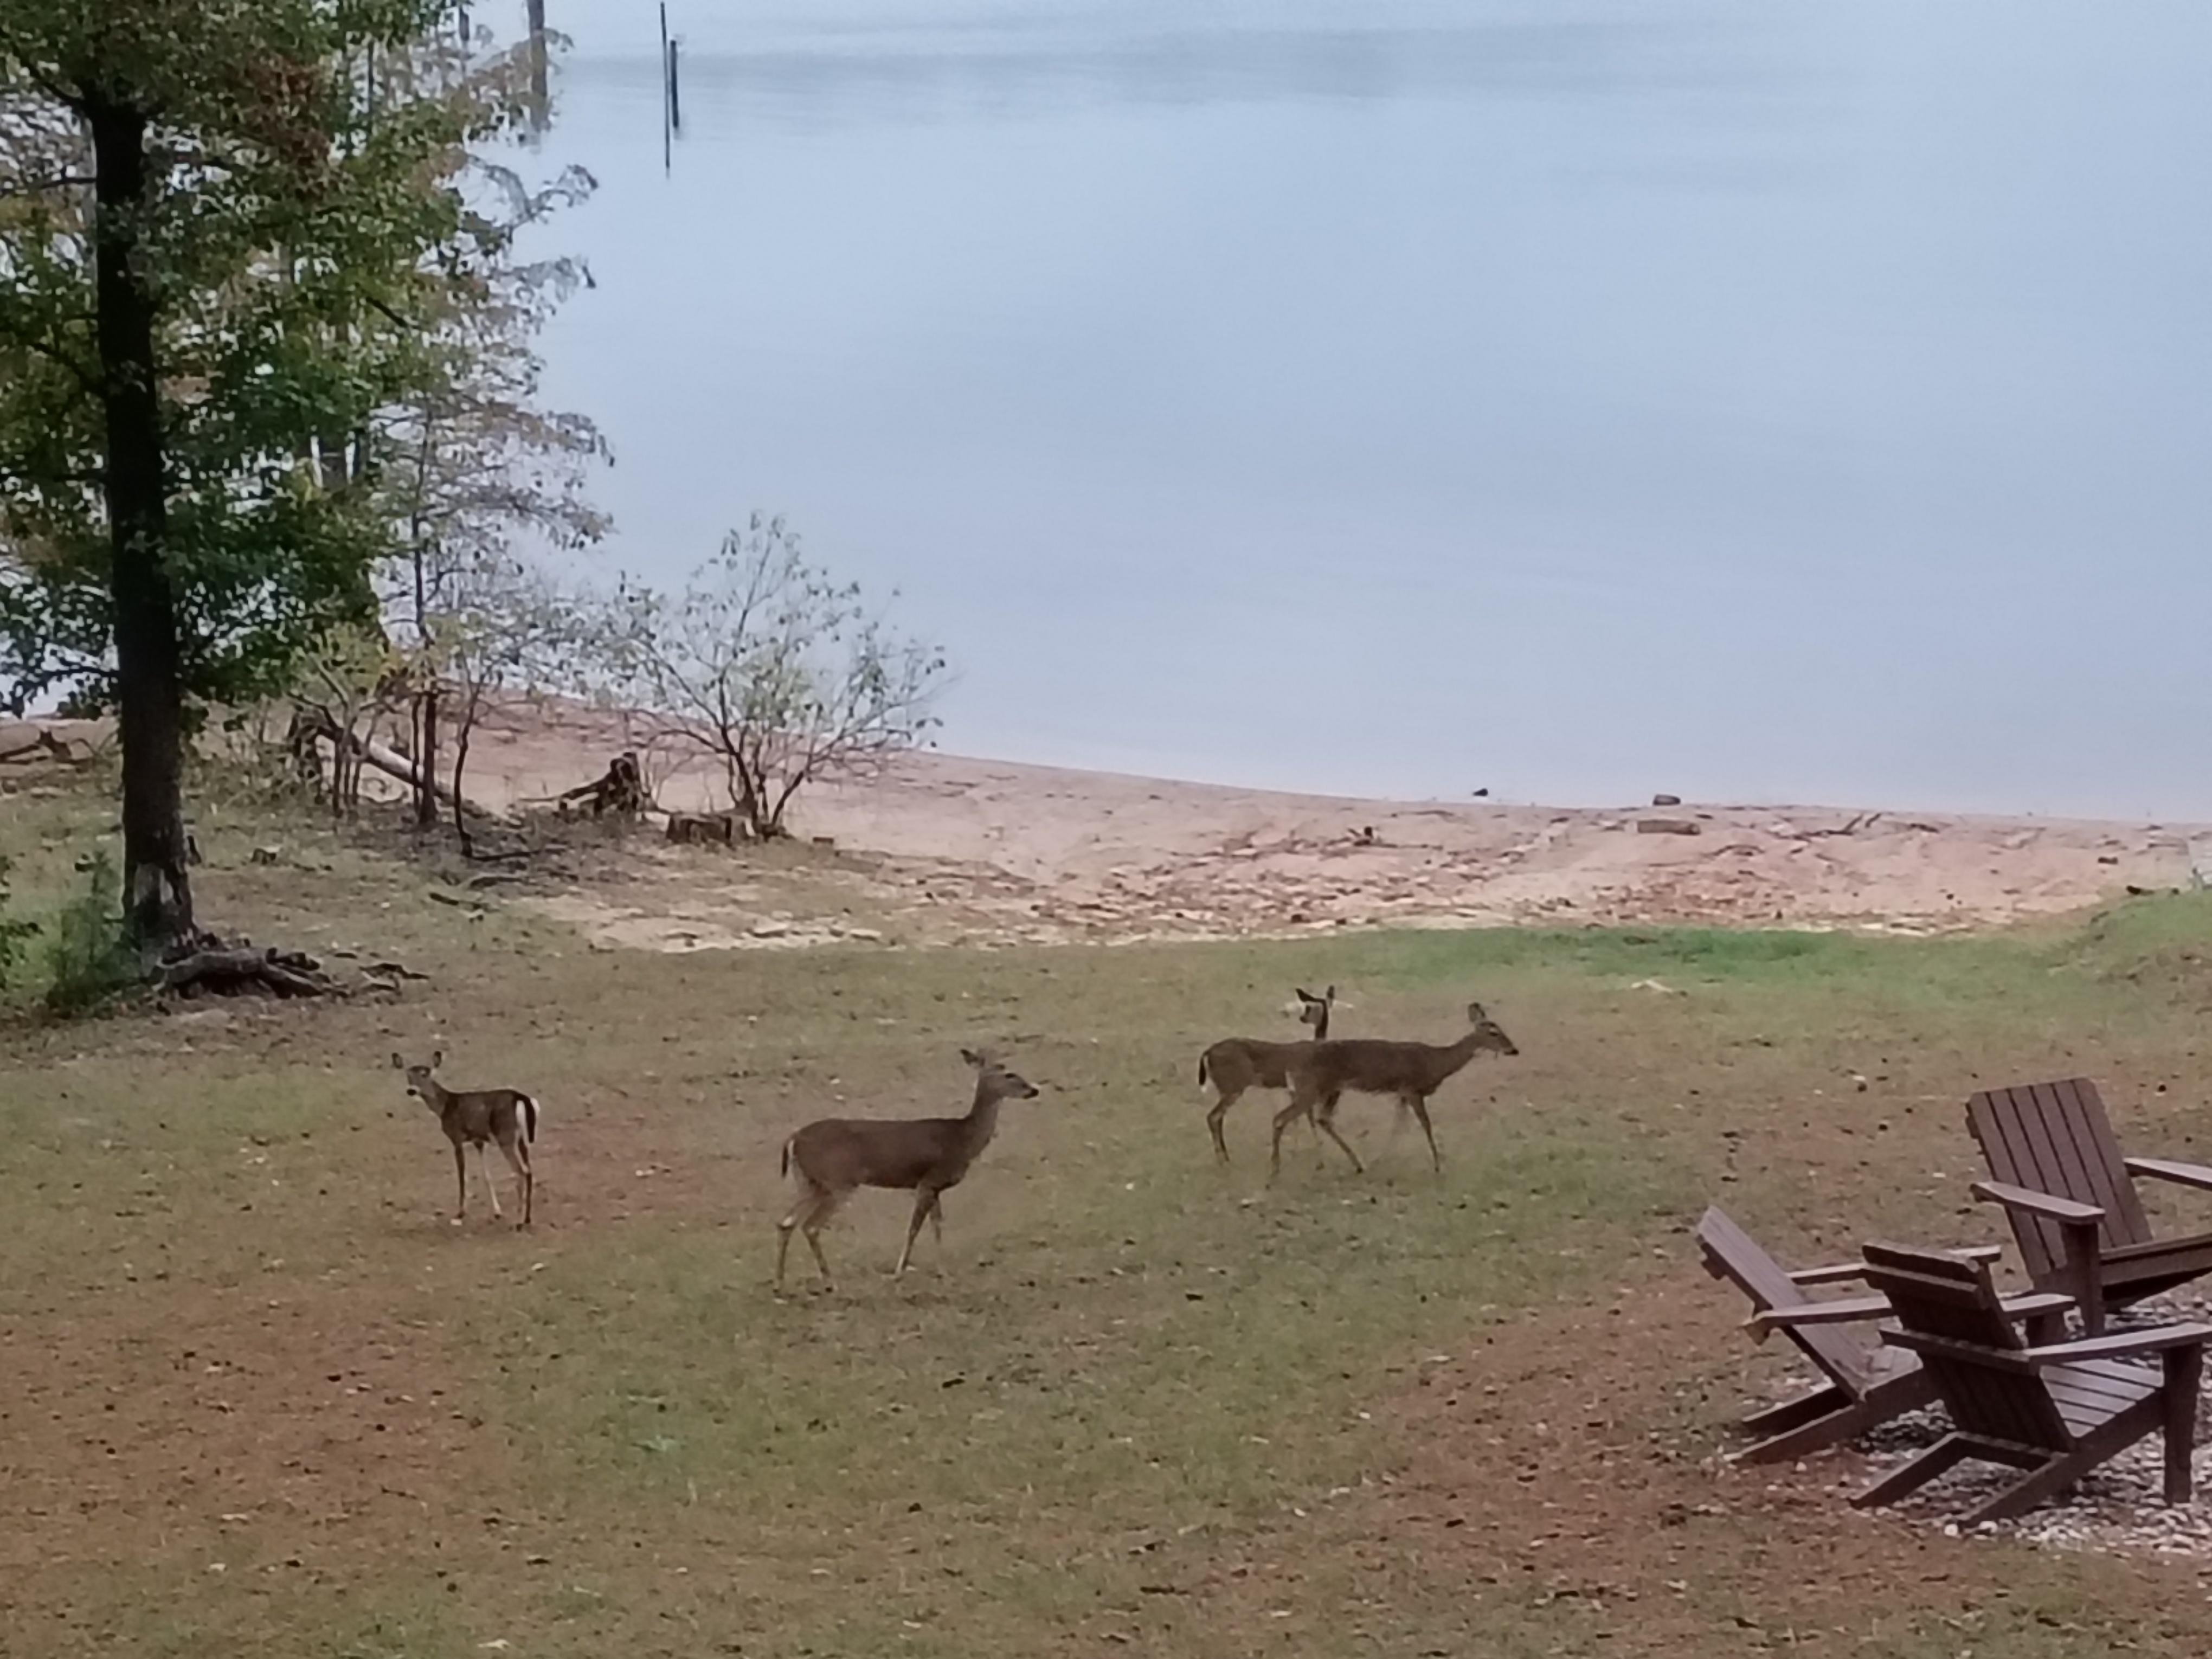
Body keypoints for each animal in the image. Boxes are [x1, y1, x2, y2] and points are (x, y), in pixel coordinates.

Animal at [390, 1051, 539, 1228]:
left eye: (425, 1074)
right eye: (408, 1075)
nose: (411, 1091)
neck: (444, 1107)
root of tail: (520, 1098)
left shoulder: (456, 1137)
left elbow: (462, 1176)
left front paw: (461, 1213)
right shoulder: (478, 1140)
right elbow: (487, 1176)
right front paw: (497, 1212)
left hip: (506, 1137)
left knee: (520, 1171)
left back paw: (518, 1221)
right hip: (522, 1138)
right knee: (529, 1170)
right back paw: (527, 1218)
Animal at [776, 1048, 1041, 1289]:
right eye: (1008, 1073)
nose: (1033, 1090)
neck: (962, 1140)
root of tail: (793, 1138)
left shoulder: (935, 1187)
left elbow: (937, 1227)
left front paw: (943, 1272)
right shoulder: (928, 1181)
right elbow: (914, 1229)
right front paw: (899, 1273)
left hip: (810, 1182)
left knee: (786, 1222)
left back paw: (780, 1283)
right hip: (838, 1181)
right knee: (810, 1226)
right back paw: (830, 1282)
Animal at [1197, 986, 1336, 1163]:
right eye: (1308, 1006)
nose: (1302, 1018)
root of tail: (1208, 1052)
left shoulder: (1293, 1089)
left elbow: (1298, 1119)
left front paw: (1298, 1151)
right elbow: (1307, 1117)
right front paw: (1317, 1151)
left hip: (1226, 1088)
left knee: (1218, 1117)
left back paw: (1226, 1157)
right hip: (1232, 1087)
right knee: (1212, 1116)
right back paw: (1222, 1160)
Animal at [1271, 1001, 1518, 1179]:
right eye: (1494, 1033)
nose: (1514, 1050)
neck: (1437, 1062)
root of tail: (1291, 1064)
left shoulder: (1402, 1093)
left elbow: (1398, 1126)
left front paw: (1382, 1160)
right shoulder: (1413, 1089)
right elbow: (1425, 1124)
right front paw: (1439, 1165)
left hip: (1330, 1090)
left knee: (1321, 1119)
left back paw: (1358, 1164)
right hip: (1312, 1088)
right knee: (1281, 1118)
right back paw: (1276, 1168)